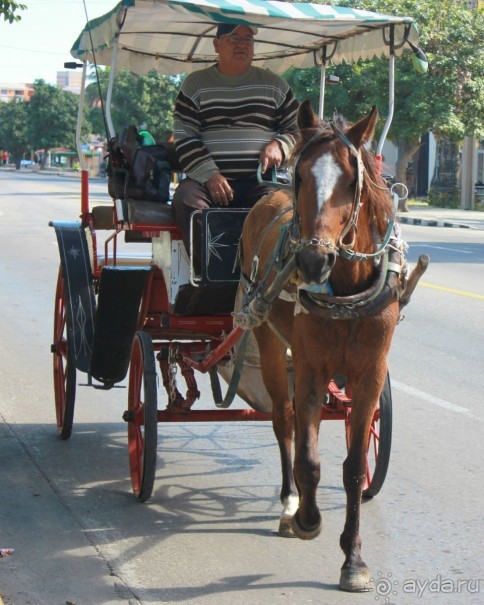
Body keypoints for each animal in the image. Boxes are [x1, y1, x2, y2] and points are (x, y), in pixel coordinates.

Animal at [237, 101, 424, 592]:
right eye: (301, 175)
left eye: (352, 181)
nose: (311, 259)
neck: (346, 286)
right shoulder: (309, 367)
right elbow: (308, 456)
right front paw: (306, 517)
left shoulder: (369, 374)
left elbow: (354, 466)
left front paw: (353, 559)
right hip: (267, 341)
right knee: (283, 420)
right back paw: (289, 500)